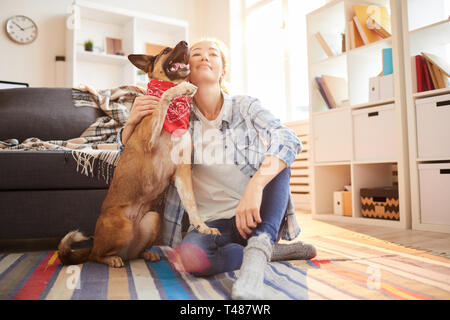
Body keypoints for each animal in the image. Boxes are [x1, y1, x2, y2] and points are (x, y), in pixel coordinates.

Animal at [59, 41, 221, 268]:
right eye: (165, 51)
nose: (185, 43)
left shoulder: (182, 172)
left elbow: (191, 204)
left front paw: (202, 227)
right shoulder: (150, 140)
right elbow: (163, 99)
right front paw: (182, 89)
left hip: (153, 218)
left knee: (133, 252)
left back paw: (146, 253)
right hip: (122, 226)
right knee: (96, 255)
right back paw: (111, 259)